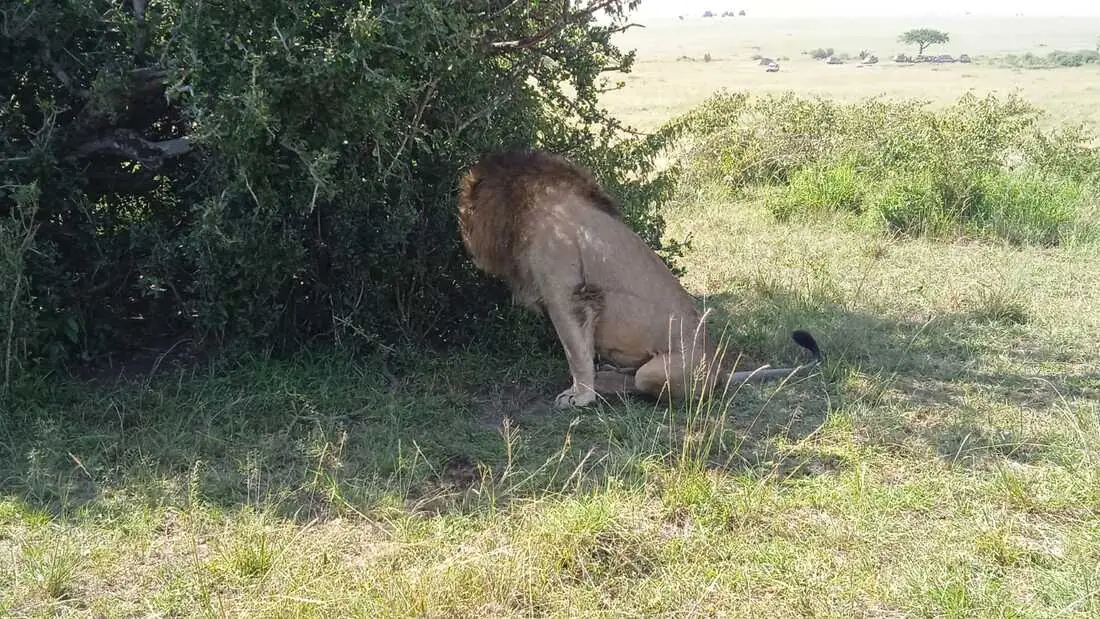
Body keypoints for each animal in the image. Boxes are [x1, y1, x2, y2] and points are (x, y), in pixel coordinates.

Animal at [457, 149, 823, 409]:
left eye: (466, 211)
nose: (462, 231)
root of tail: (720, 371)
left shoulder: (567, 295)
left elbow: (576, 352)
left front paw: (580, 396)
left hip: (660, 371)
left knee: (642, 385)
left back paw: (608, 386)